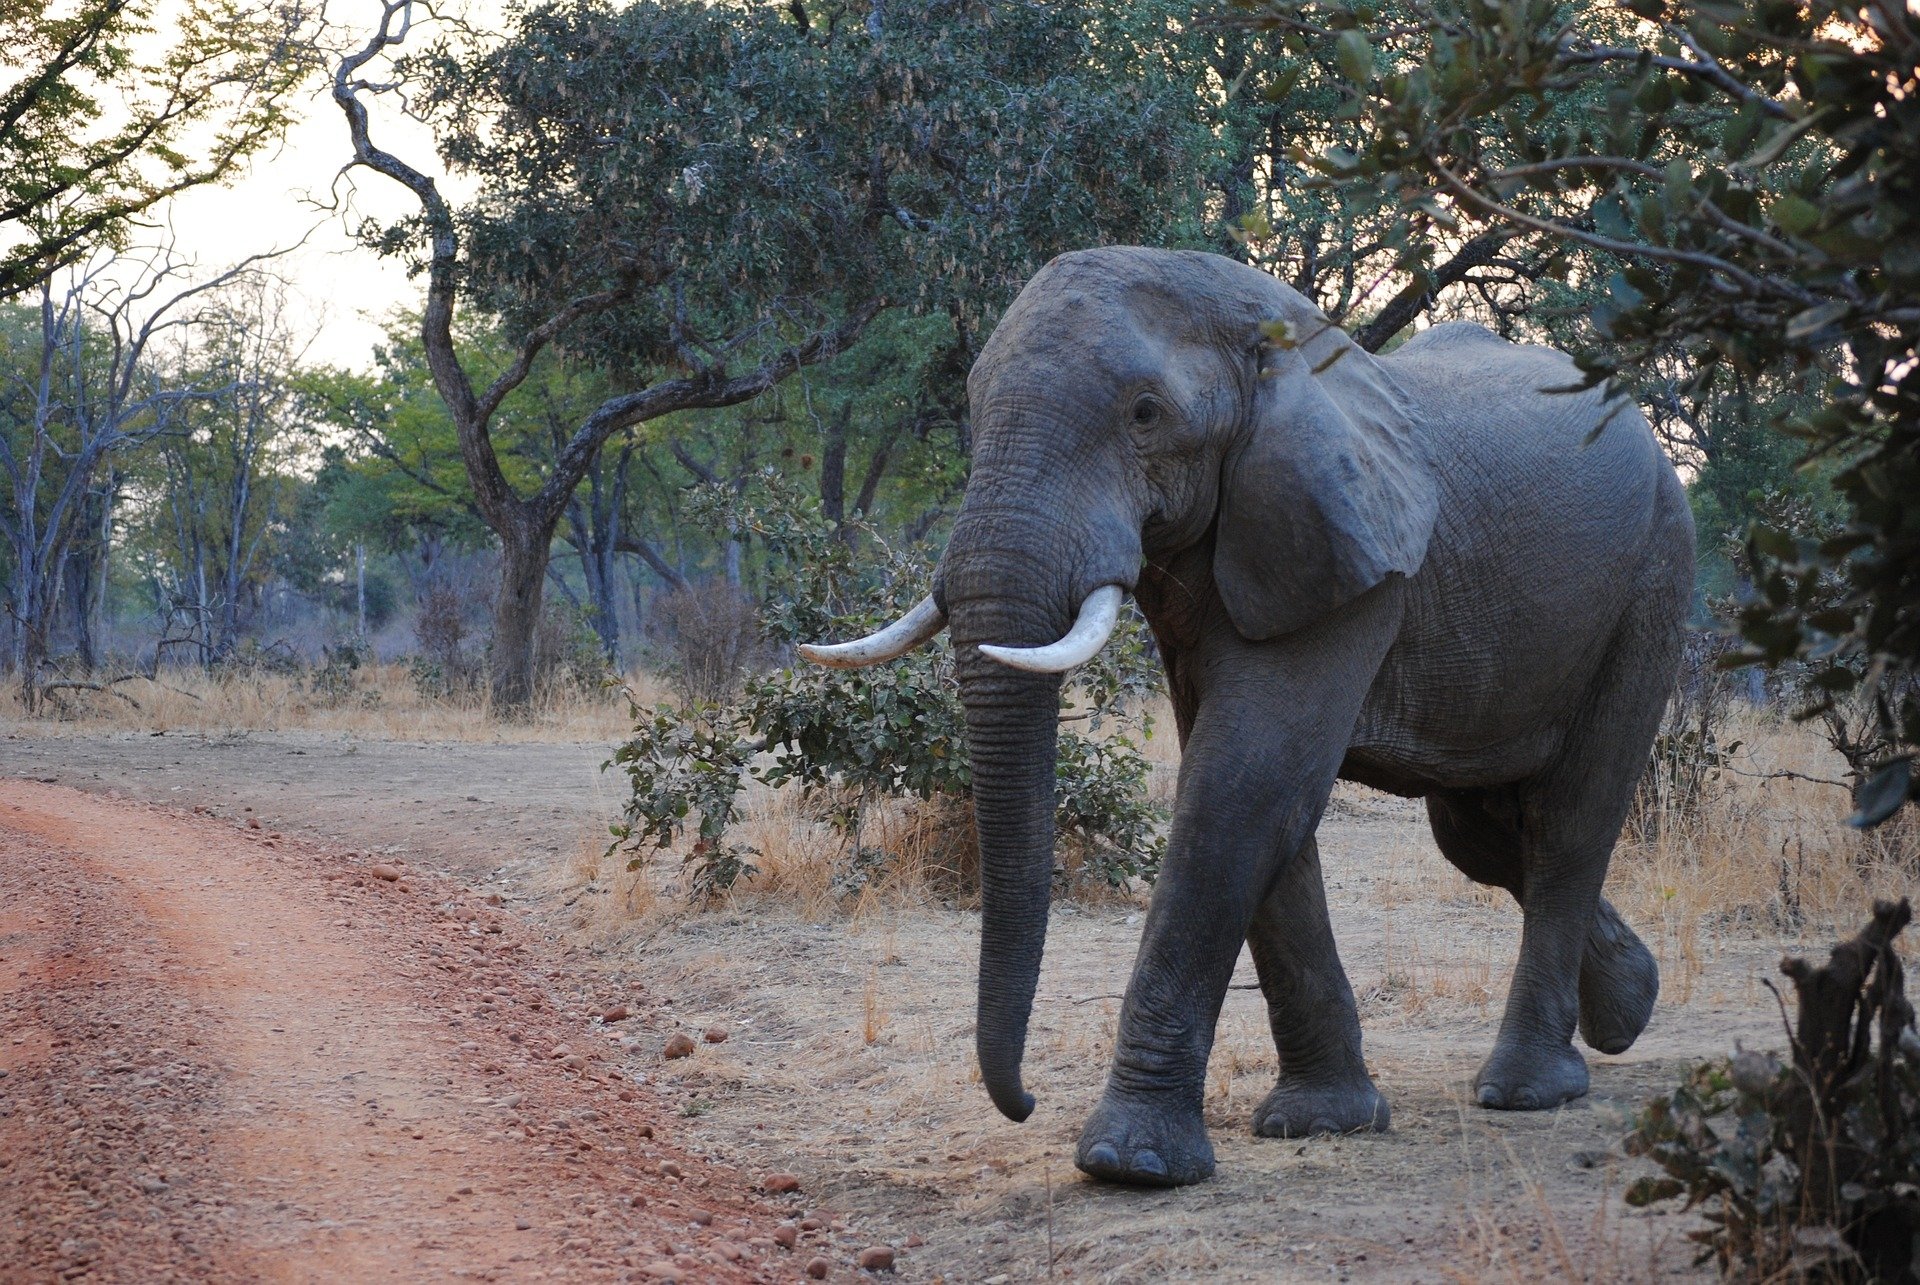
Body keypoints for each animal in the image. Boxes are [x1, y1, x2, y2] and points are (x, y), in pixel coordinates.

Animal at [802, 240, 1689, 1183]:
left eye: (1145, 414)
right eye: (970, 405)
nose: (1026, 1100)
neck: (1268, 332)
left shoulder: (1355, 558)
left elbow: (1243, 784)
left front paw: (1129, 1163)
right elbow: (1259, 797)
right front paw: (1323, 1121)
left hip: (1656, 576)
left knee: (1570, 819)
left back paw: (1528, 1087)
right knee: (1477, 832)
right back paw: (1630, 1006)